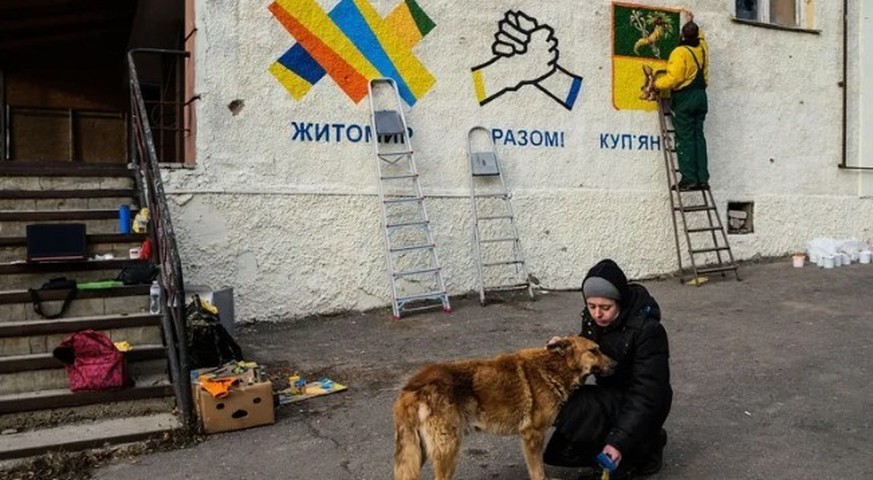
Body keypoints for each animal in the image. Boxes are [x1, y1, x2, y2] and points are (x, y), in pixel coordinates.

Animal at [394, 336, 612, 478]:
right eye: (594, 350)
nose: (616, 364)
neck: (553, 367)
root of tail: (411, 387)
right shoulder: (533, 436)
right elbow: (538, 472)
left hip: (418, 452)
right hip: (447, 450)